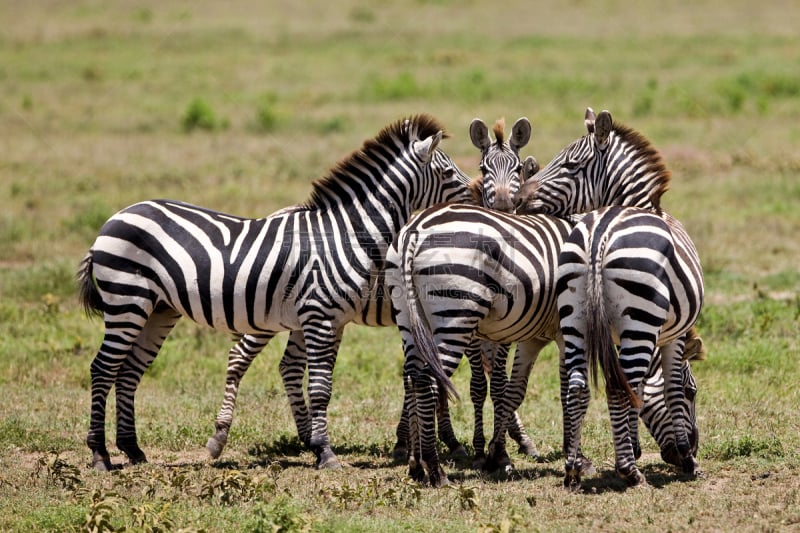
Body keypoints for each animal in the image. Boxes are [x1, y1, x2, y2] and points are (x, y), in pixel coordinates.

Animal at [74, 113, 472, 470]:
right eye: (448, 173)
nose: (475, 198)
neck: (345, 235)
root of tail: (118, 215)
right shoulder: (320, 318)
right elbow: (321, 388)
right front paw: (327, 454)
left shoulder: (334, 320)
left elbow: (329, 384)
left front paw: (324, 447)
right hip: (128, 299)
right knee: (104, 368)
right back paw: (101, 454)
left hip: (159, 309)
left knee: (129, 370)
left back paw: (133, 449)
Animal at [516, 107, 704, 486]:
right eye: (695, 393)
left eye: (570, 164)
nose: (517, 200)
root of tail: (599, 234)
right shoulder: (671, 336)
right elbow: (668, 388)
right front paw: (685, 458)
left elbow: (640, 389)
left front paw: (634, 444)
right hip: (641, 320)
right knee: (621, 387)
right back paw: (630, 473)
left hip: (574, 315)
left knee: (577, 387)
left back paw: (573, 469)